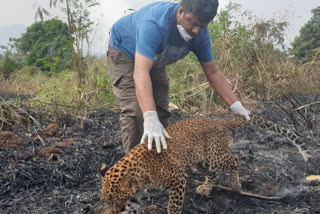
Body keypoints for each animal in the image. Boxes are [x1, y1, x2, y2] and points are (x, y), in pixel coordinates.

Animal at [100, 115, 310, 214]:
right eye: (107, 202)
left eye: (115, 201)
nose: (112, 211)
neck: (139, 175)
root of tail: (220, 121)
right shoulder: (134, 196)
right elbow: (131, 208)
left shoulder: (178, 179)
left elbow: (173, 205)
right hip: (200, 161)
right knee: (213, 174)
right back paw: (206, 188)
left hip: (214, 157)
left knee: (234, 159)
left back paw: (235, 185)